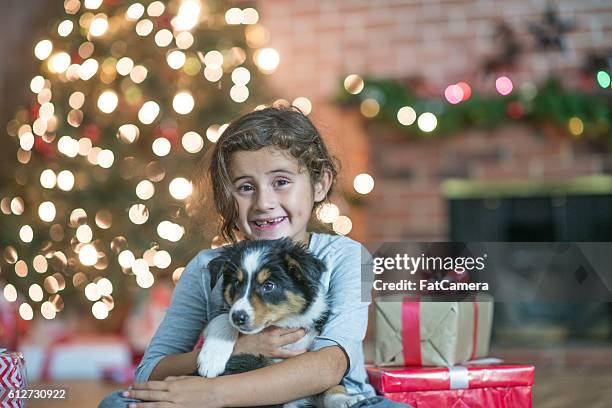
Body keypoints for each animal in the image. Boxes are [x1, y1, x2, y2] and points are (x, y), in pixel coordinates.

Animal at [196, 236, 364, 408]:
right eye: (236, 282)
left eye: (269, 285)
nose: (237, 317)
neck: (285, 321)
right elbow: (222, 319)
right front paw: (211, 359)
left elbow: (332, 383)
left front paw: (343, 399)